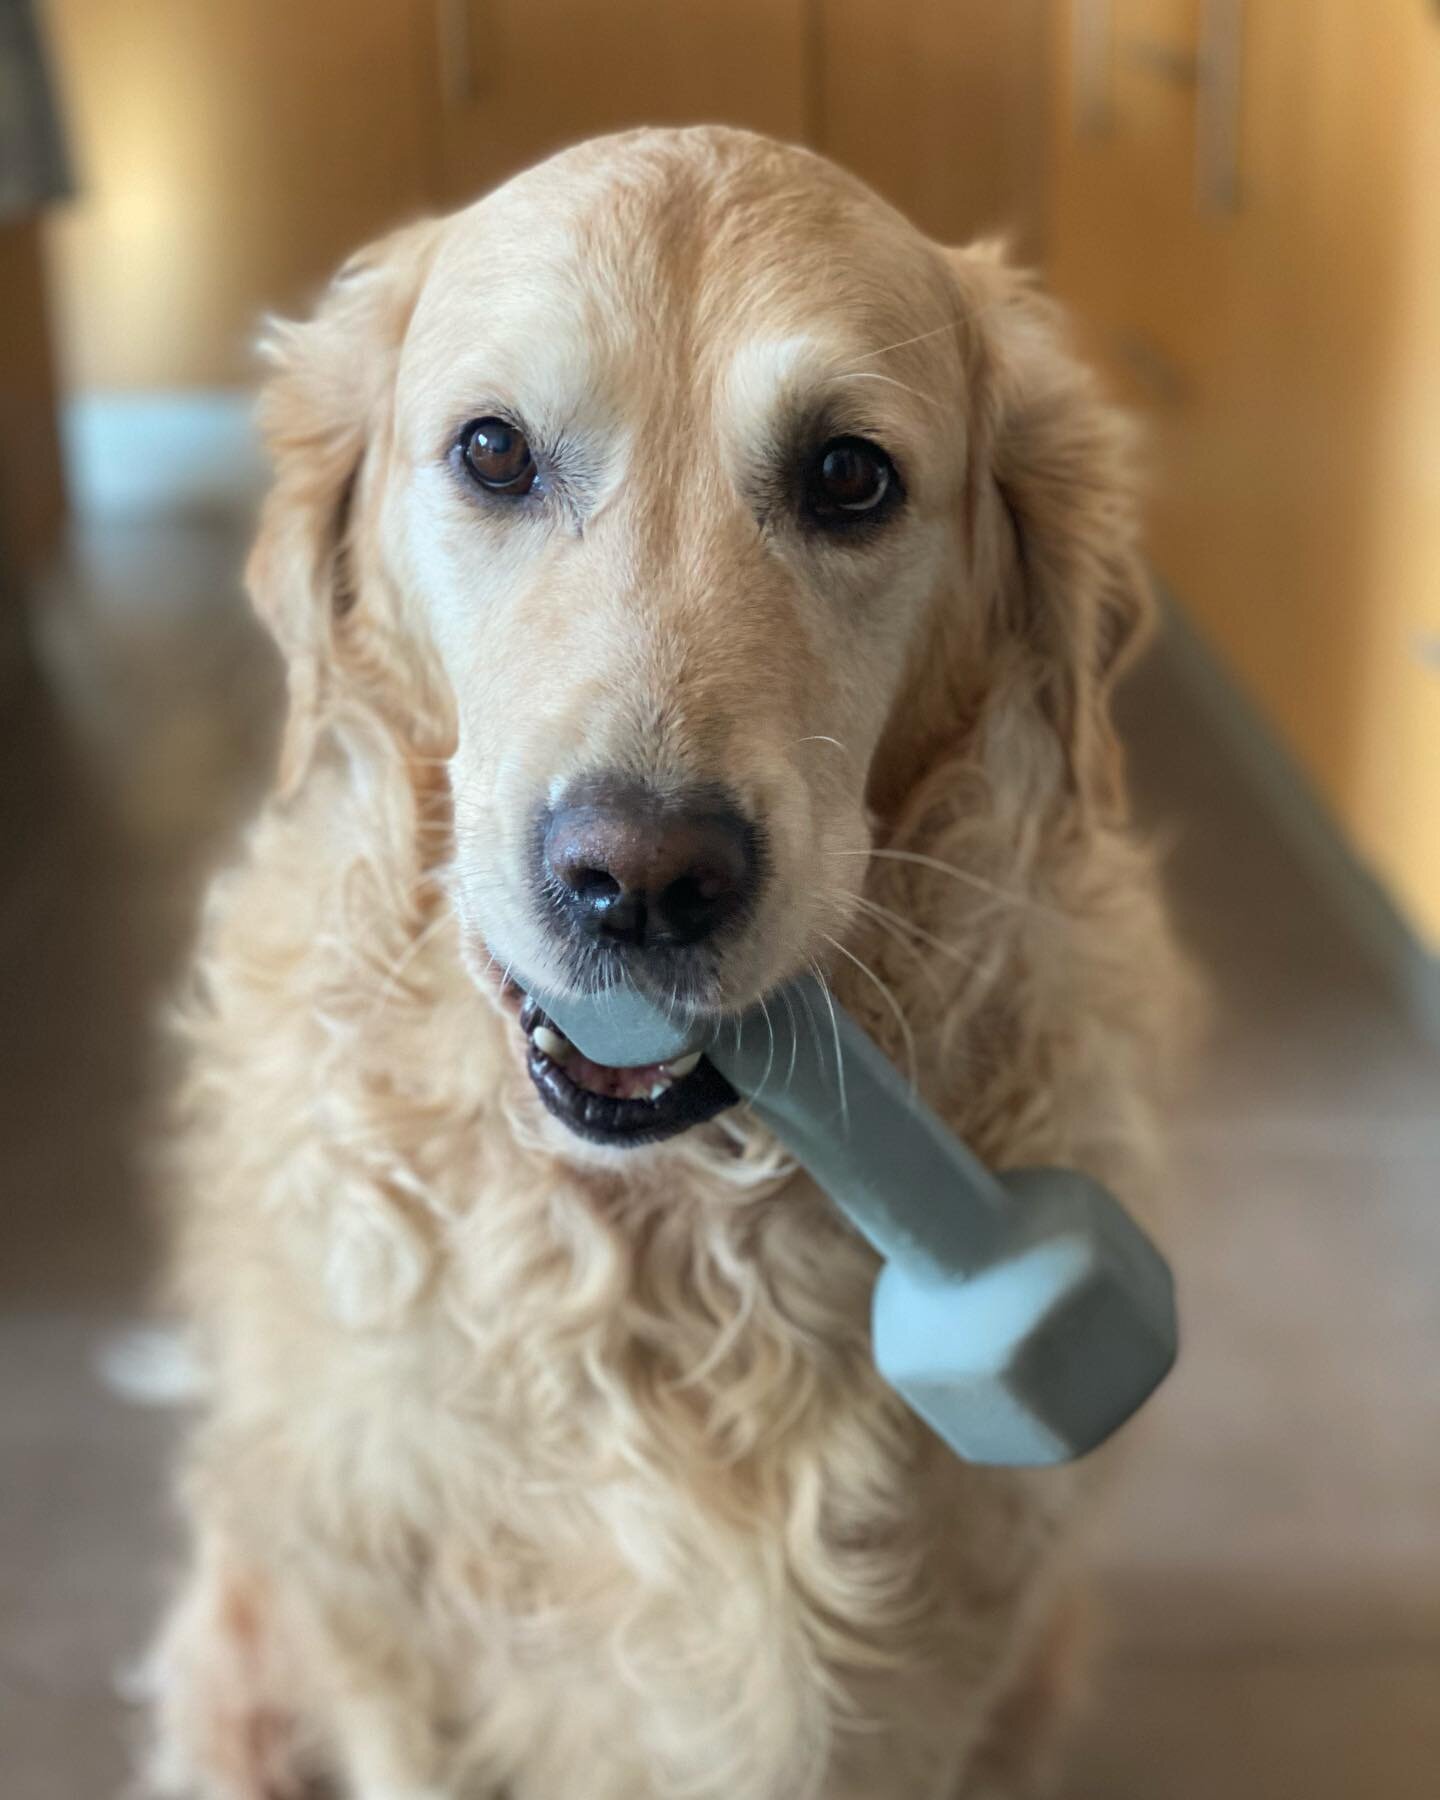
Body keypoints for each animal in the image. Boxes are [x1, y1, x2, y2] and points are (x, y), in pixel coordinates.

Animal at [143, 126, 1180, 1800]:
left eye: (849, 475)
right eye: (494, 451)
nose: (637, 883)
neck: (673, 1231)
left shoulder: (940, 1668)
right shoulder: (381, 1634)